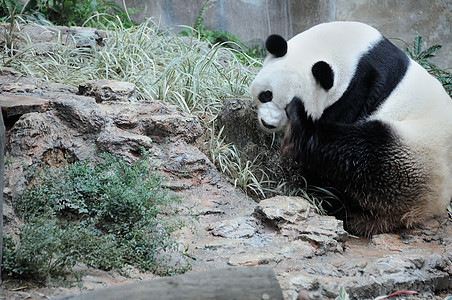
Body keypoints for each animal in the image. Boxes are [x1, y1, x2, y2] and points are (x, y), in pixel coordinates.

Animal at [251, 21, 452, 237]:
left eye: (286, 108)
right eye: (266, 94)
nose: (268, 123)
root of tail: (427, 208)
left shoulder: (357, 91)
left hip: (413, 155)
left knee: (361, 153)